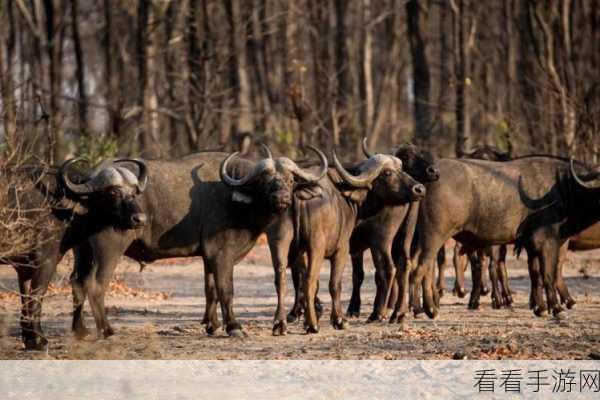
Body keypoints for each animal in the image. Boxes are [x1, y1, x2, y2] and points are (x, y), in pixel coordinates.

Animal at [0, 158, 148, 348]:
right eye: (113, 192)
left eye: (135, 192)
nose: (140, 219)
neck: (65, 203)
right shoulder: (46, 260)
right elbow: (37, 296)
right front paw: (39, 340)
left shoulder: (24, 267)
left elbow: (25, 298)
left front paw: (29, 339)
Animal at [72, 148, 330, 340]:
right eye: (265, 181)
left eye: (290, 179)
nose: (282, 199)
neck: (234, 196)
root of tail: (89, 182)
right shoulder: (221, 253)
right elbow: (226, 289)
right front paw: (234, 327)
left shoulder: (208, 257)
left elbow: (211, 289)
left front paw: (212, 325)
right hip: (109, 249)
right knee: (96, 285)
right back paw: (107, 331)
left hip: (82, 251)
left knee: (77, 282)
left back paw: (80, 330)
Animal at [268, 147, 426, 334]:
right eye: (387, 173)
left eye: (401, 169)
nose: (419, 188)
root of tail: (295, 193)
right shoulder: (341, 249)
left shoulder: (339, 249)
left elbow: (330, 283)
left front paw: (333, 318)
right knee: (397, 267)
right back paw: (393, 313)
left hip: (378, 241)